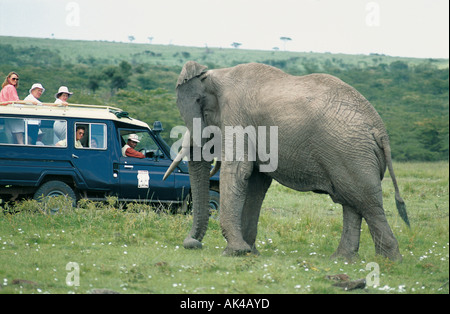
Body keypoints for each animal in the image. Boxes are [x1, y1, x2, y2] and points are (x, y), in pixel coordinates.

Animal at [164, 60, 408, 262]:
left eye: (203, 114)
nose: (192, 244)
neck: (215, 75)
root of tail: (380, 130)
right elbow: (256, 182)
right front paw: (250, 252)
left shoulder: (237, 116)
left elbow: (237, 172)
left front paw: (234, 252)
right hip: (352, 154)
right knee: (352, 201)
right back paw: (343, 259)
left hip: (350, 152)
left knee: (366, 203)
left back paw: (389, 261)